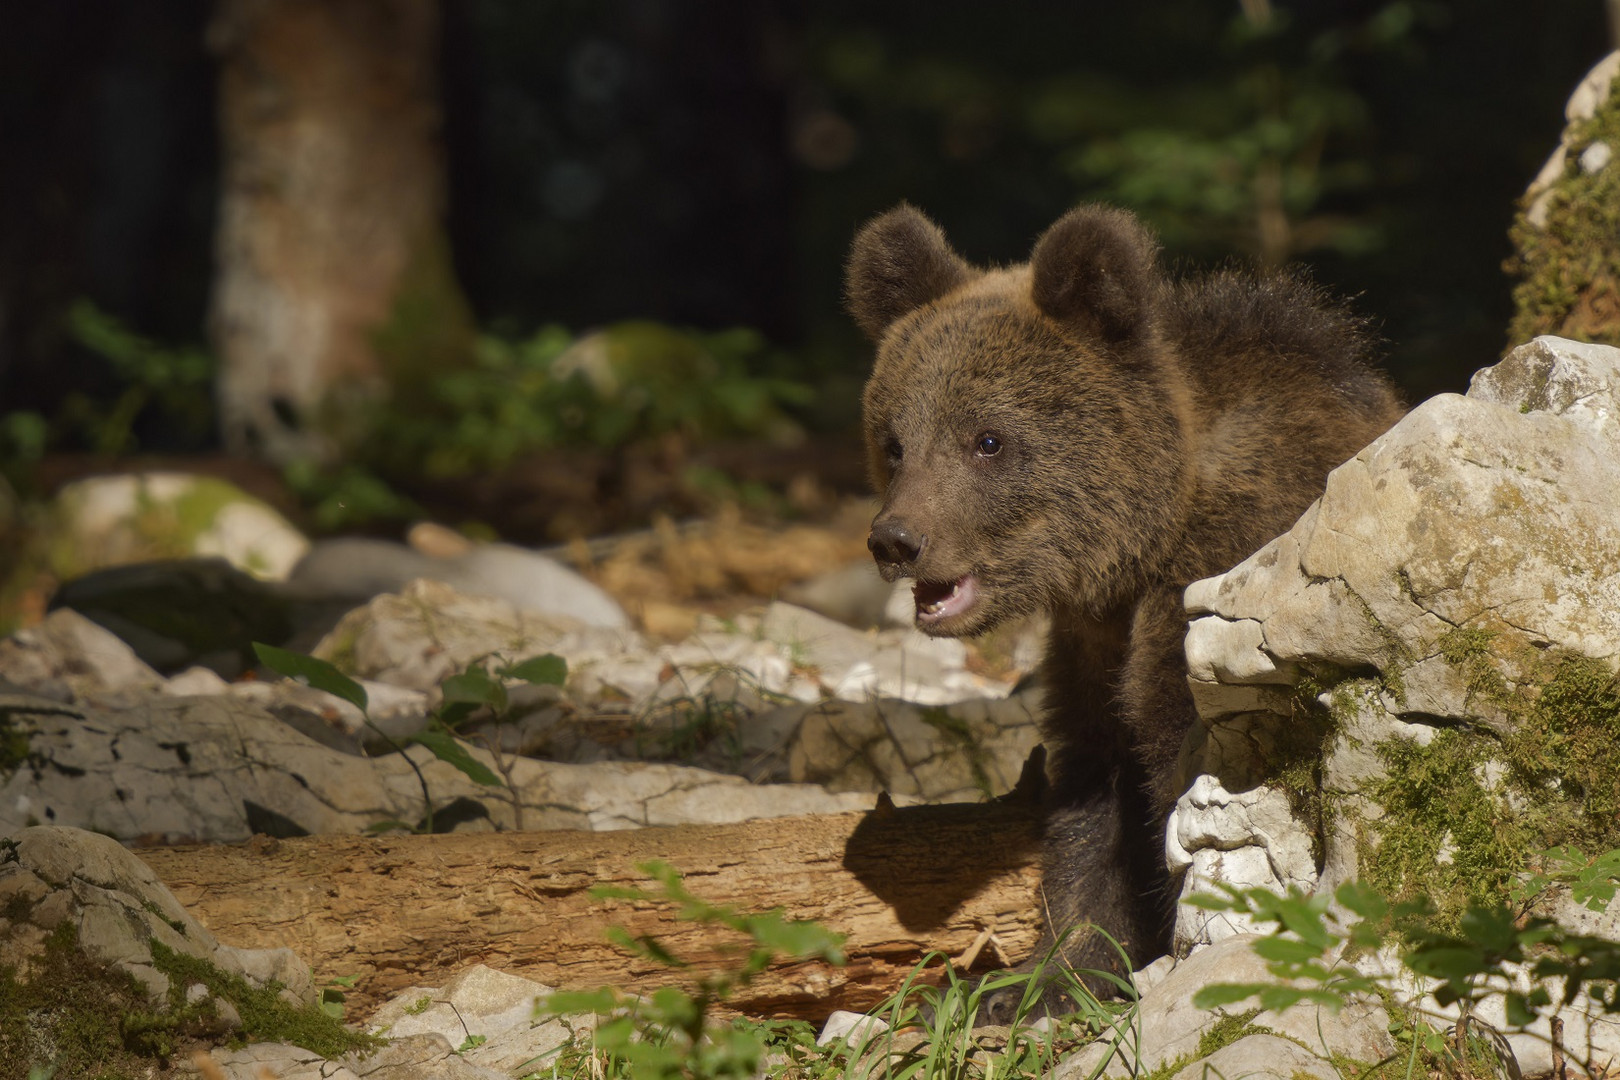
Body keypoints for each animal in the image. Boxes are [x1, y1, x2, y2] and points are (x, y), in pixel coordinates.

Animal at [848, 204, 1406, 1023]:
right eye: (893, 441)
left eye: (988, 439)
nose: (896, 540)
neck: (1142, 545)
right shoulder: (1090, 646)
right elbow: (1094, 797)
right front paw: (1040, 979)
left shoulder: (1216, 585)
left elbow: (1185, 770)